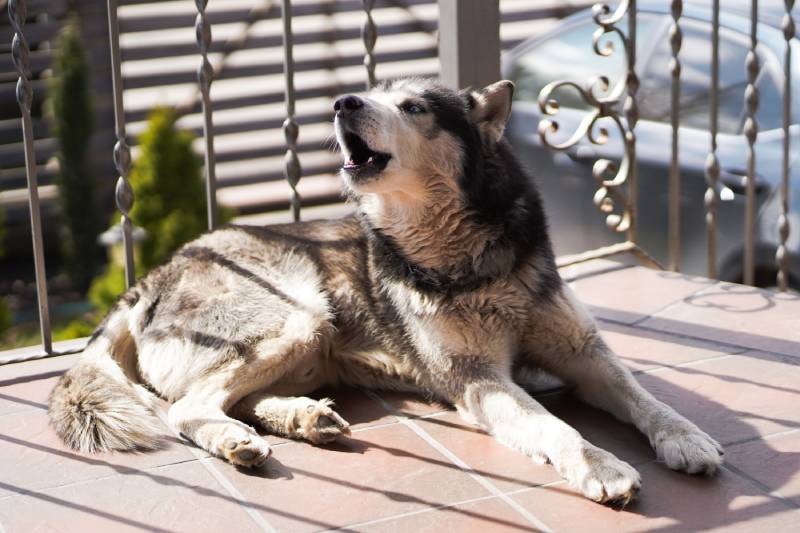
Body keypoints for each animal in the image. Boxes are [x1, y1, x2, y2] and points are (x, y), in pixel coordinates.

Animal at [50, 78, 724, 502]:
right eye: (371, 93)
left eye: (415, 106)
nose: (343, 101)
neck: (462, 250)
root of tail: (147, 279)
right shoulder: (479, 379)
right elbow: (560, 430)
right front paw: (603, 467)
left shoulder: (585, 352)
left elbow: (645, 398)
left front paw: (686, 438)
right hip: (297, 318)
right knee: (188, 407)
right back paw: (243, 437)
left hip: (307, 342)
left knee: (225, 398)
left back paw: (301, 419)